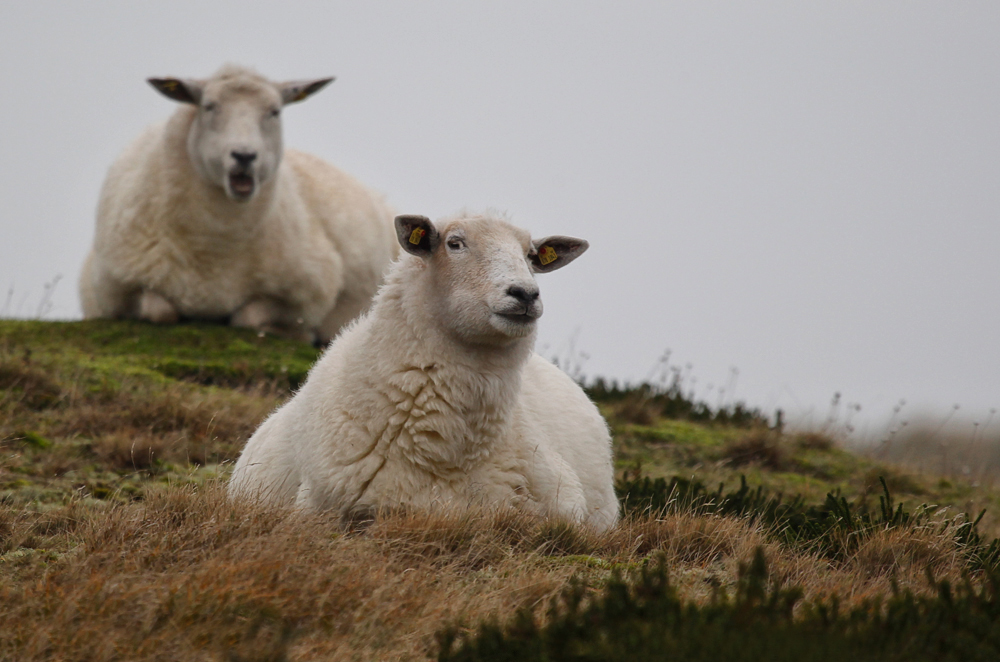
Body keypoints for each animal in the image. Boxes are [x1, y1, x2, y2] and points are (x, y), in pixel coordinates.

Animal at [80, 64, 398, 344]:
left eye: (274, 111)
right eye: (209, 106)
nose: (244, 155)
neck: (214, 252)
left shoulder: (308, 291)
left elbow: (248, 317)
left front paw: (299, 334)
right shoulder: (115, 290)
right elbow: (158, 310)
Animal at [229, 213, 616, 536]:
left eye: (532, 254)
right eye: (454, 243)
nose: (525, 294)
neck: (448, 451)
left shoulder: (563, 508)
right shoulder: (321, 506)